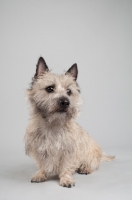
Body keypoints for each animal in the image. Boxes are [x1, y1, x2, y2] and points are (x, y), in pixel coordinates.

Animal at [24, 56, 114, 188]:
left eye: (69, 91)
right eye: (50, 88)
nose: (65, 102)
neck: (53, 124)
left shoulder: (69, 151)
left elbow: (66, 167)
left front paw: (66, 179)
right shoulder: (39, 149)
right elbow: (42, 164)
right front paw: (41, 174)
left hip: (92, 155)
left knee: (92, 164)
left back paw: (85, 168)